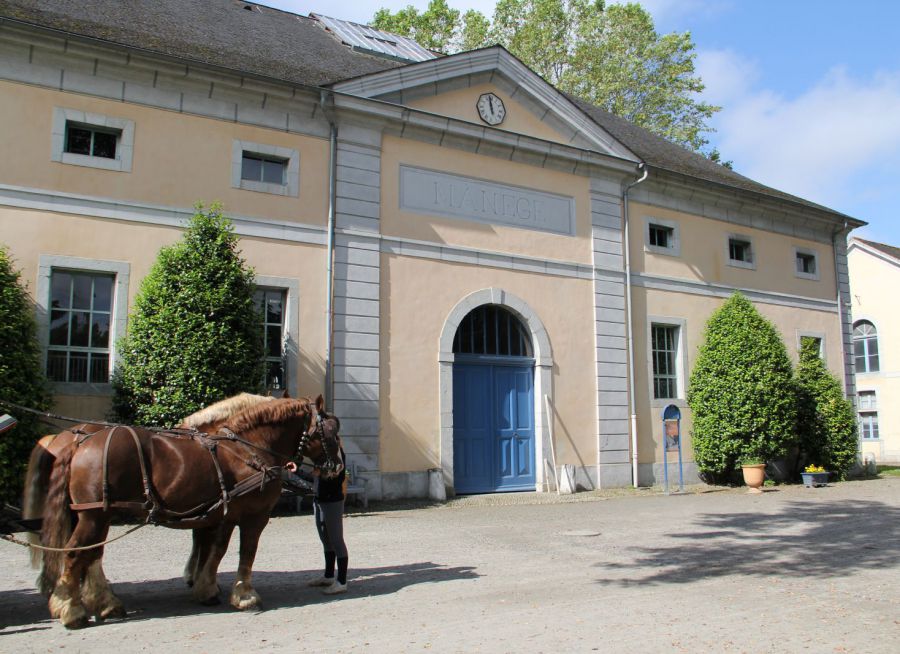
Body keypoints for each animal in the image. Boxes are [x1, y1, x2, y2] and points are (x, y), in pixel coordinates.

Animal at [26, 394, 342, 632]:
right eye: (330, 431)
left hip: (94, 515)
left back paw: (99, 602)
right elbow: (244, 552)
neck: (249, 448)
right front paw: (244, 594)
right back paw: (72, 609)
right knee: (75, 553)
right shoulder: (253, 515)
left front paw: (206, 587)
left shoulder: (220, 514)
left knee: (89, 554)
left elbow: (214, 549)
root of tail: (80, 442)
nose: (337, 466)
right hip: (95, 516)